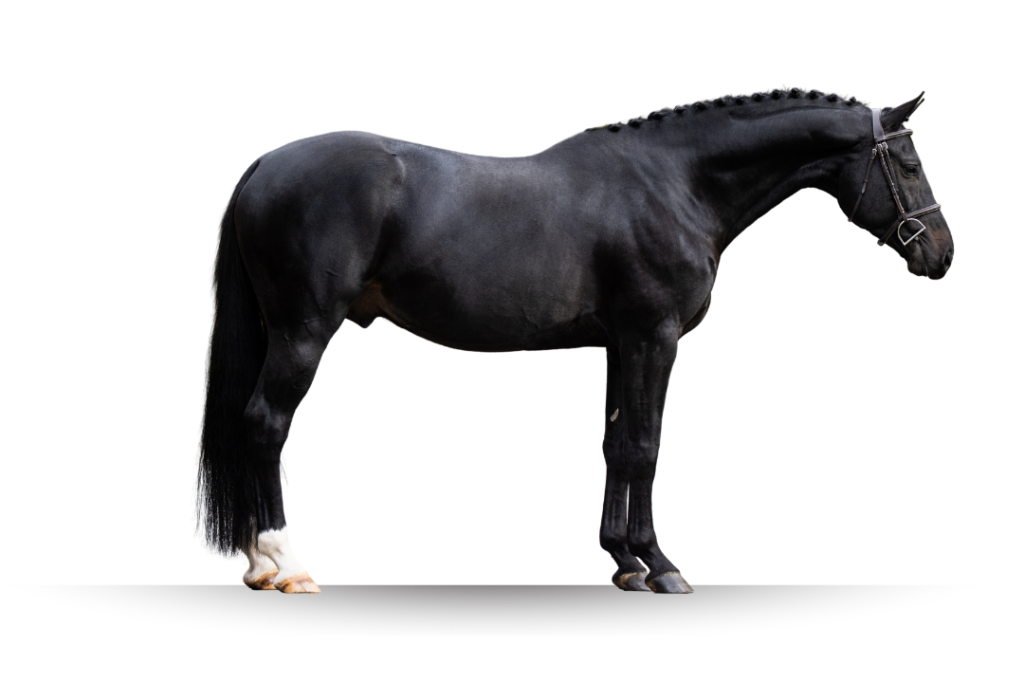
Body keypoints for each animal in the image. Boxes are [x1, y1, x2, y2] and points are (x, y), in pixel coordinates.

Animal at [191, 86, 953, 594]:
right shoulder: (654, 337)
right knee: (264, 423)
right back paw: (284, 565)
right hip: (303, 332)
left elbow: (618, 445)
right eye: (911, 164)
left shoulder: (622, 344)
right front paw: (660, 566)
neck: (677, 183)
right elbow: (645, 445)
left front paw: (627, 562)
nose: (942, 255)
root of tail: (265, 165)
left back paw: (256, 565)